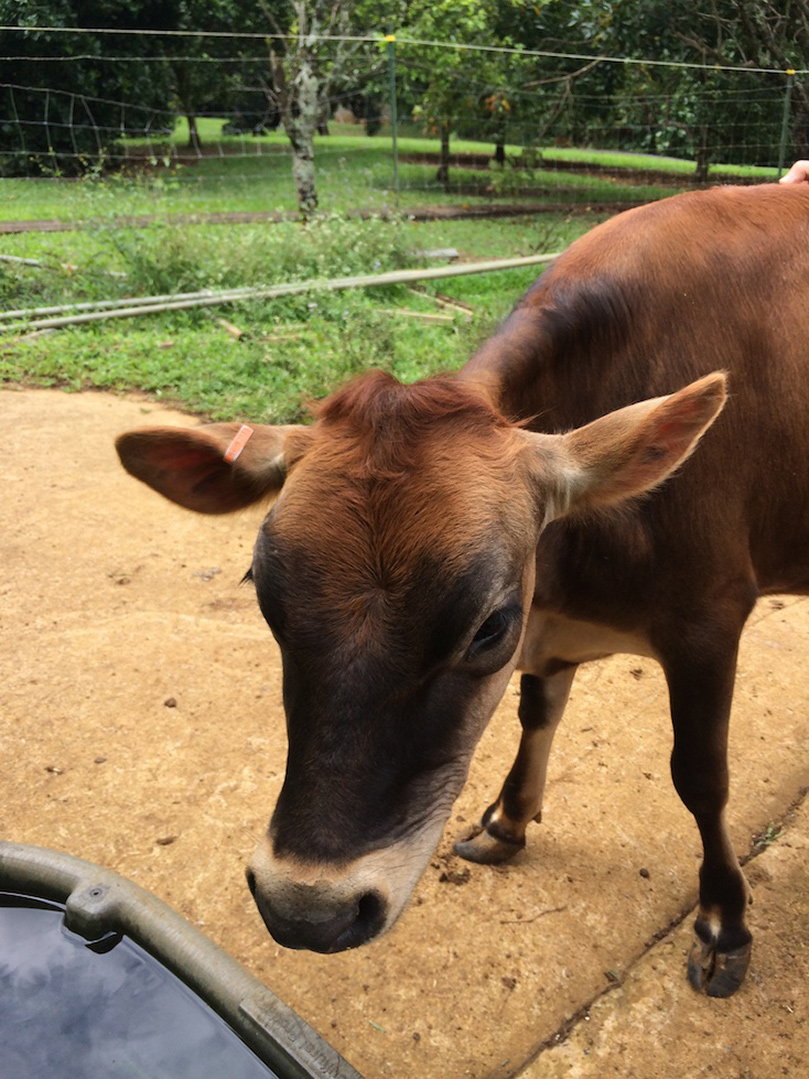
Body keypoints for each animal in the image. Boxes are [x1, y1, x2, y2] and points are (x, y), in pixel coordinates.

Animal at [116, 183, 809, 999]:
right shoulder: (552, 626)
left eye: (488, 625)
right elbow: (538, 712)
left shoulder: (709, 616)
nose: (306, 910)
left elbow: (700, 776)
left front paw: (722, 923)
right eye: (263, 594)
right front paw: (507, 821)